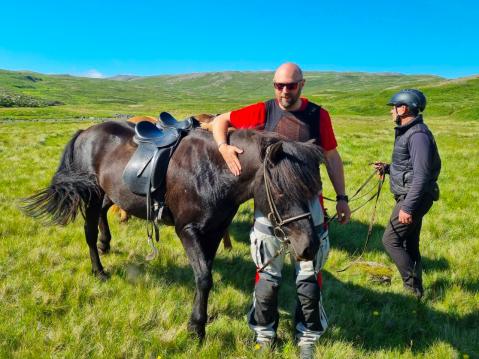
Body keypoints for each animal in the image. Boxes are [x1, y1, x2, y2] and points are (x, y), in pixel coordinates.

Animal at [22, 121, 324, 340]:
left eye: (313, 189)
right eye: (281, 191)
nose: (309, 246)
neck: (214, 171)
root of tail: (85, 132)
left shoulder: (214, 231)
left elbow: (205, 273)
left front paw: (200, 316)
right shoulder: (187, 230)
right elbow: (204, 277)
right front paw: (196, 328)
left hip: (111, 192)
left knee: (105, 215)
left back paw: (106, 244)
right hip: (92, 195)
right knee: (88, 231)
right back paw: (99, 270)